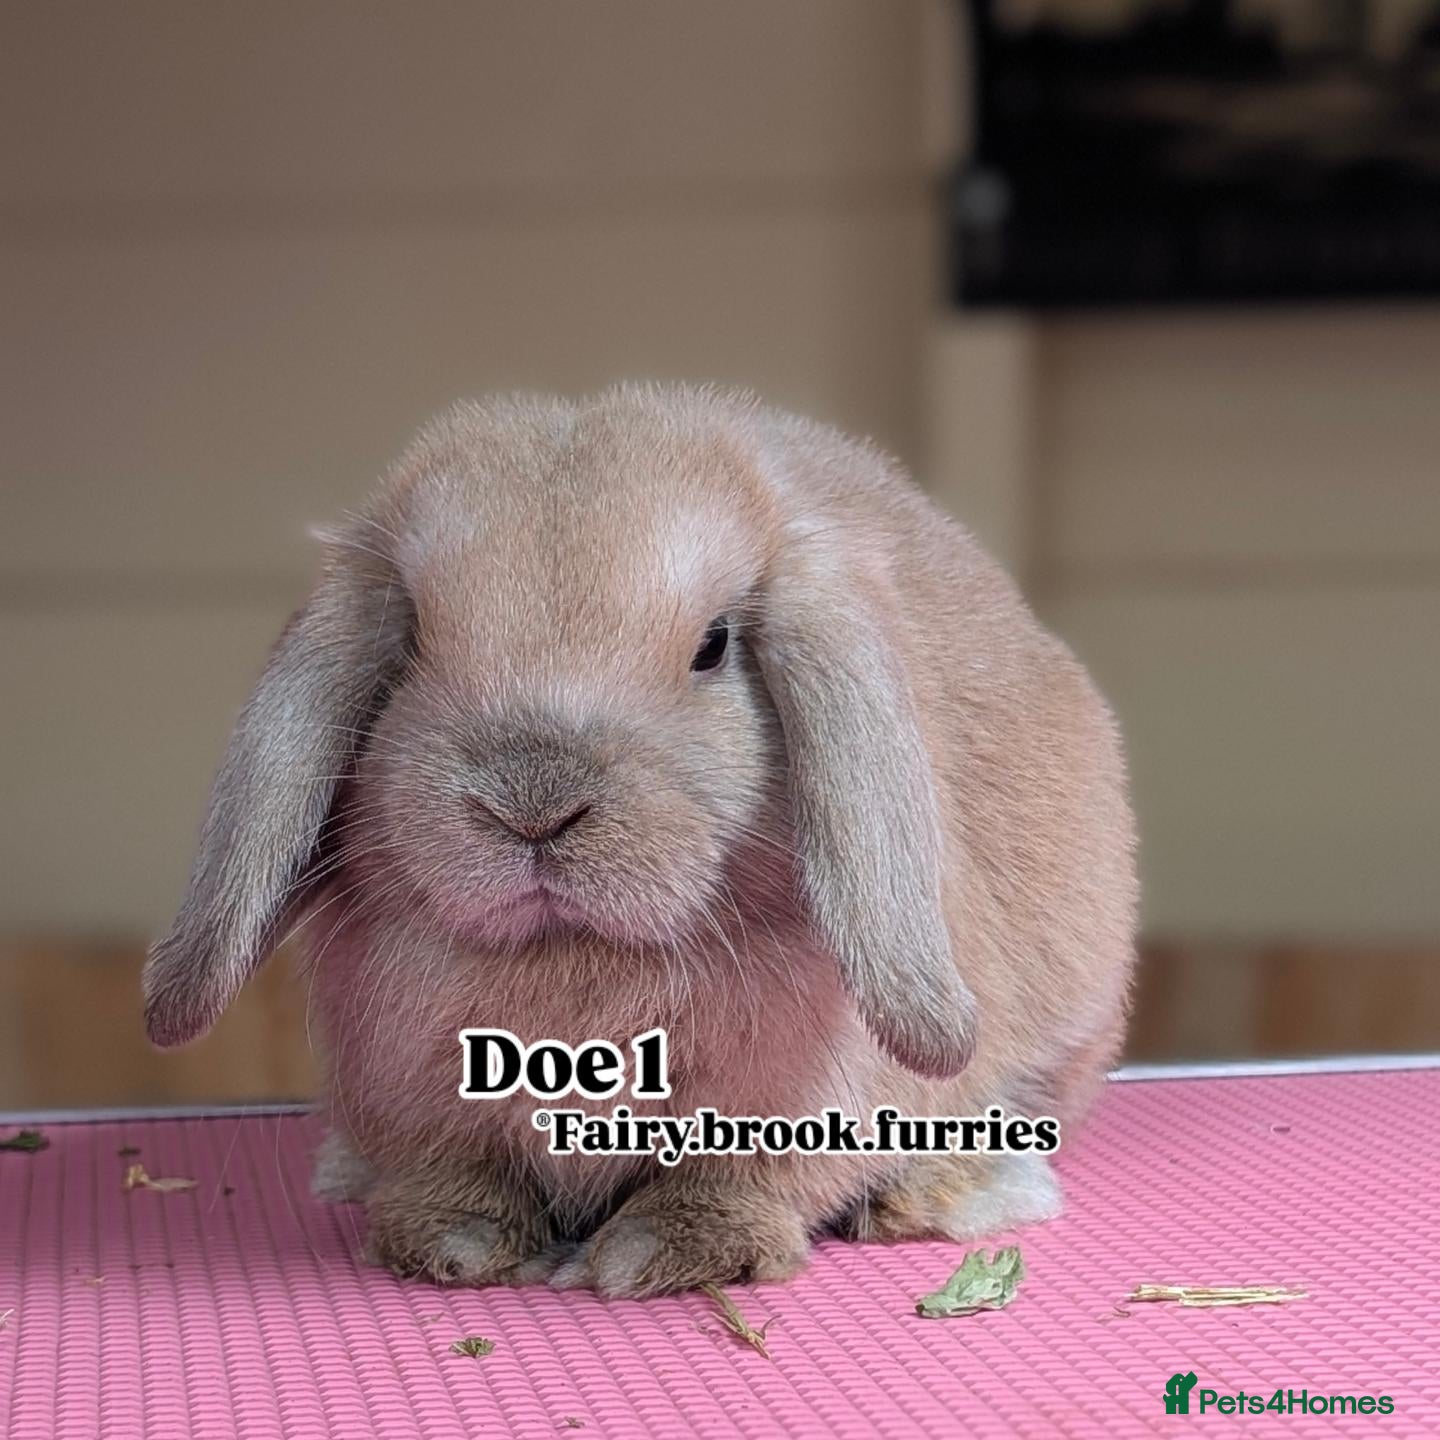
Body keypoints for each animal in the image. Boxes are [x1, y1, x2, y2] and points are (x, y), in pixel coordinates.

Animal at [144, 383, 1137, 1297]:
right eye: (415, 636)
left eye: (715, 645)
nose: (533, 803)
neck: (570, 962)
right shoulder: (415, 1090)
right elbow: (460, 1175)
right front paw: (455, 1244)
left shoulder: (795, 1102)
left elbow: (735, 1179)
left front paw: (663, 1254)